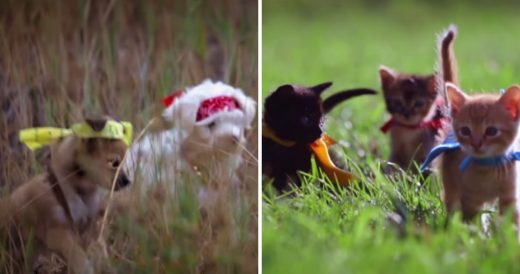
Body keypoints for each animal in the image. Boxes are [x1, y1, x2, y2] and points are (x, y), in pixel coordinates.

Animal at [3, 117, 132, 274]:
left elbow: (98, 255)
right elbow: (80, 260)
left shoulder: (90, 231)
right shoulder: (58, 234)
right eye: (114, 163)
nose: (127, 182)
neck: (80, 191)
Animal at [380, 25, 458, 171]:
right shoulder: (395, 152)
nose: (407, 114)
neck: (408, 132)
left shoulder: (428, 151)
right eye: (397, 102)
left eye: (418, 104)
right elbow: (392, 166)